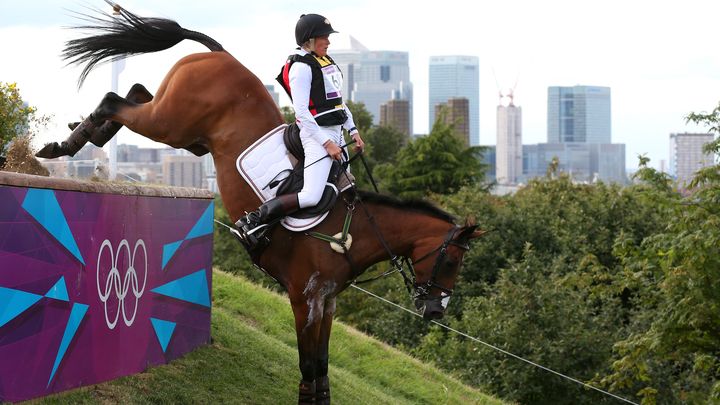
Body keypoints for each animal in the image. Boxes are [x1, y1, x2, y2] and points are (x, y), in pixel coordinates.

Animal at [36, 3, 480, 404]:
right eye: (452, 261)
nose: (436, 311)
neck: (351, 229)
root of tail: (218, 54)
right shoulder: (305, 299)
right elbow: (308, 367)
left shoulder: (327, 303)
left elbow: (322, 369)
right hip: (171, 123)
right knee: (116, 99)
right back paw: (67, 144)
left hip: (185, 134)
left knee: (134, 94)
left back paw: (83, 133)